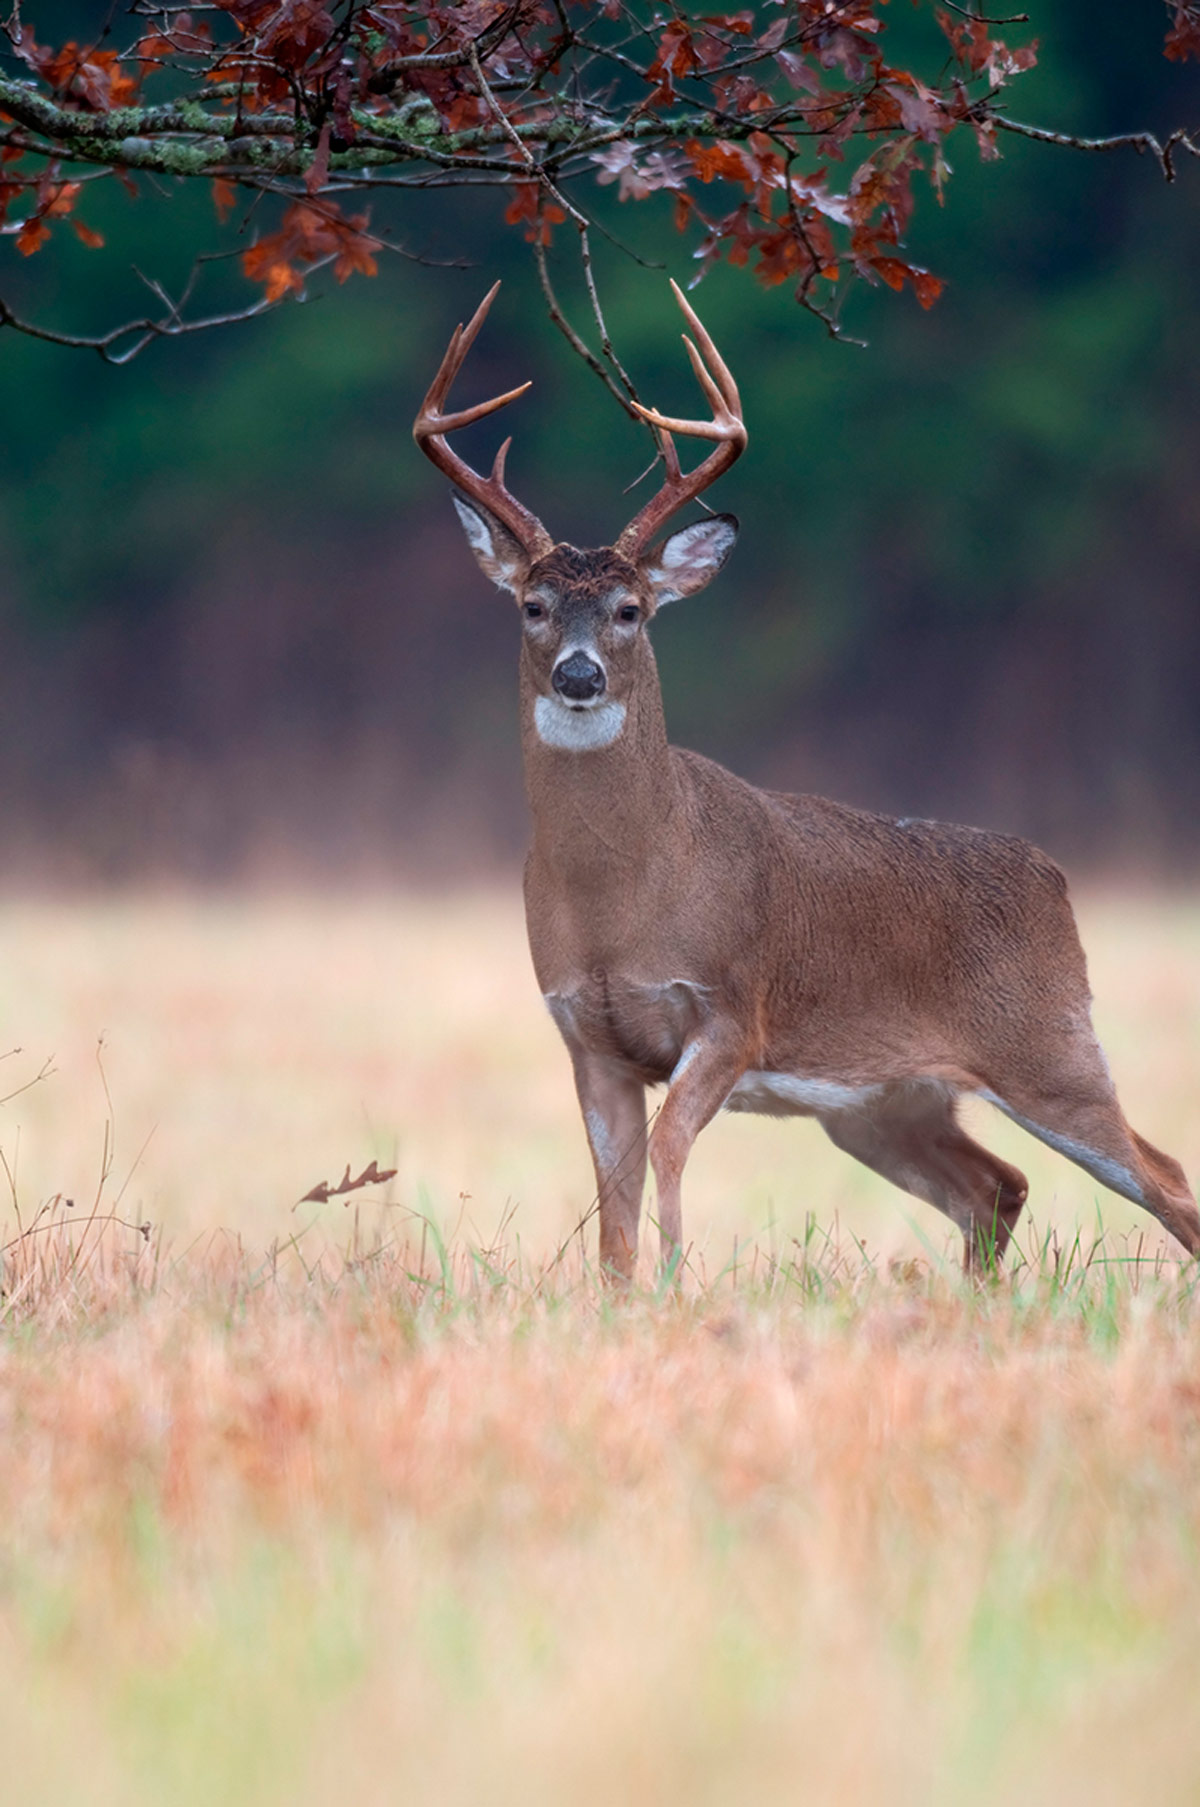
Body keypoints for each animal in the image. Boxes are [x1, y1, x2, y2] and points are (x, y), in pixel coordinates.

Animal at [415, 278, 1200, 1286]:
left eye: (631, 609)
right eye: (533, 606)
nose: (579, 674)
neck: (624, 893)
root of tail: (1055, 877)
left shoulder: (730, 1008)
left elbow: (667, 1153)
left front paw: (677, 1284)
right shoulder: (586, 1033)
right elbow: (612, 1203)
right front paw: (625, 1297)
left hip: (1050, 1045)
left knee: (1165, 1176)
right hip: (884, 1100)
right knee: (996, 1186)